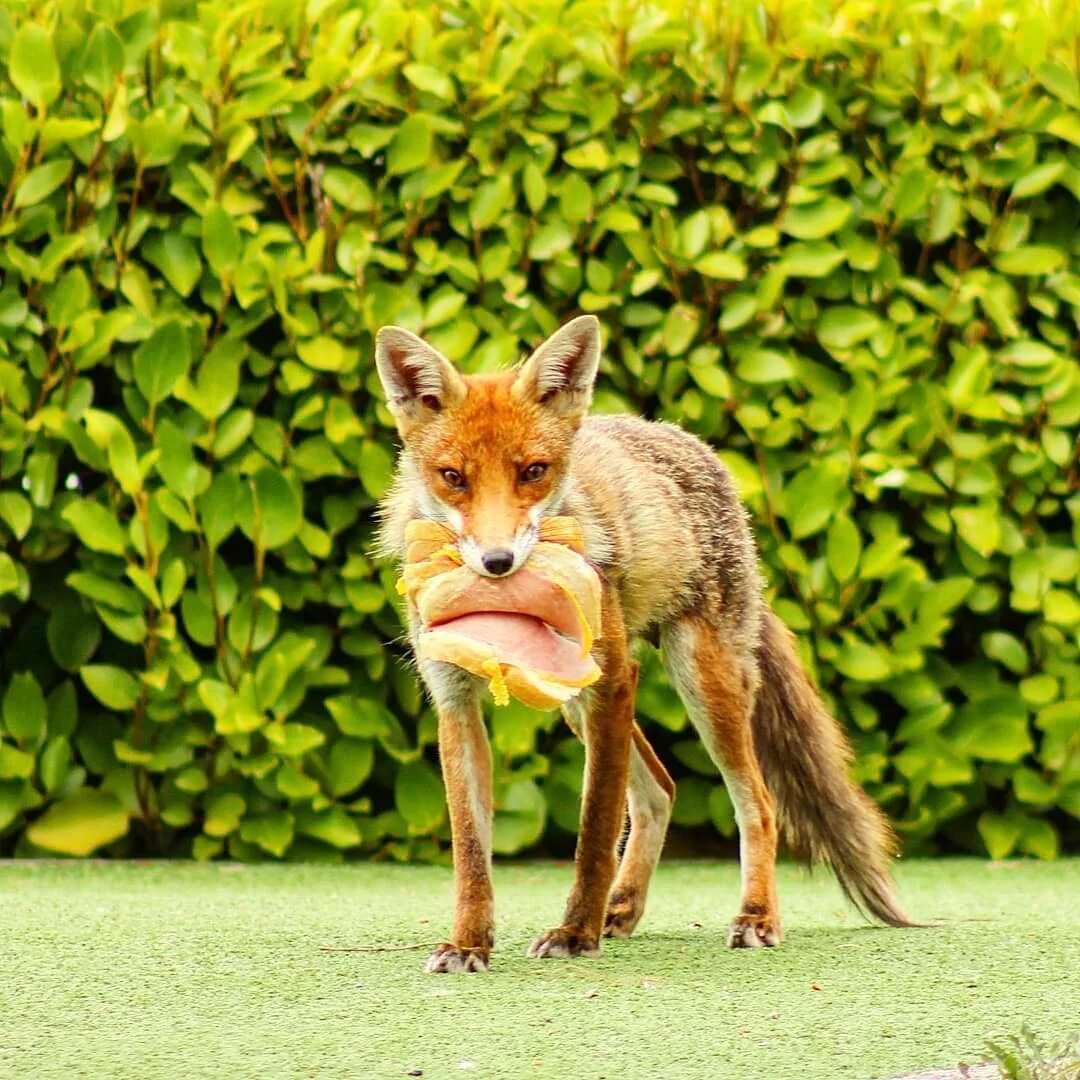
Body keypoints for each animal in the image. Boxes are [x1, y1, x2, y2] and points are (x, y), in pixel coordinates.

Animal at [375, 315, 915, 976]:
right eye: (453, 478)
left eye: (533, 471)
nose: (498, 563)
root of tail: (684, 439)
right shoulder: (455, 702)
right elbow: (471, 851)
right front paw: (469, 943)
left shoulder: (612, 680)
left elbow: (593, 830)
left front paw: (574, 933)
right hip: (578, 704)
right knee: (660, 791)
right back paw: (623, 908)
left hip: (698, 680)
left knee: (755, 803)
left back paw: (756, 917)